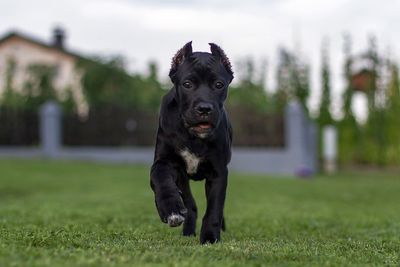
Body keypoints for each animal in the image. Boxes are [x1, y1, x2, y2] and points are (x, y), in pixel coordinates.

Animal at [150, 42, 233, 245]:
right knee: (190, 204)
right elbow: (160, 178)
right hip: (182, 177)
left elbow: (214, 208)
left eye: (219, 84)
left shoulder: (219, 172)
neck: (193, 136)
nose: (204, 108)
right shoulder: (165, 161)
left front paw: (210, 238)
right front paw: (170, 208)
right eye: (187, 84)